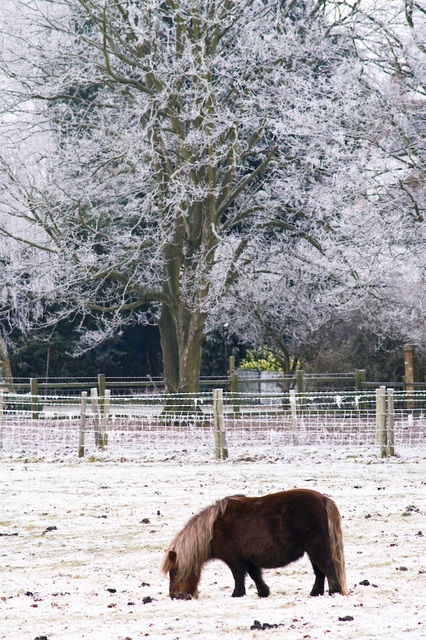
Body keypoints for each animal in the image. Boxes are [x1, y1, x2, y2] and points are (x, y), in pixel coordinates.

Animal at [161, 490, 348, 600]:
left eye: (175, 571)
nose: (175, 596)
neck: (214, 528)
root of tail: (323, 499)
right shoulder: (248, 558)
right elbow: (255, 575)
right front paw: (264, 592)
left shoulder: (234, 559)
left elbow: (238, 576)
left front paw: (237, 594)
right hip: (312, 550)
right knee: (320, 572)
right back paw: (316, 593)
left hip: (317, 548)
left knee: (328, 568)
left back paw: (334, 591)